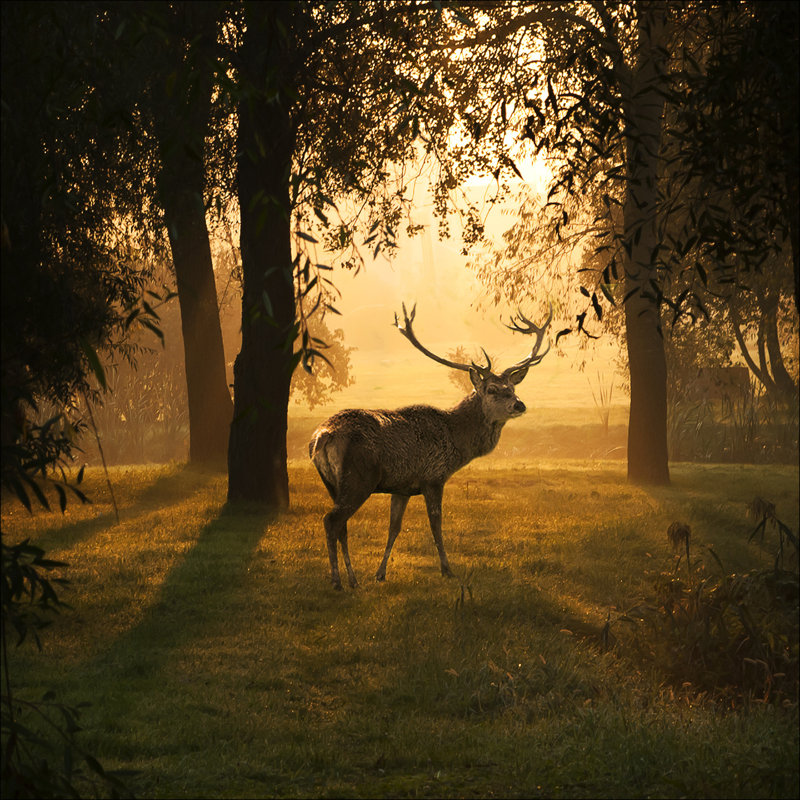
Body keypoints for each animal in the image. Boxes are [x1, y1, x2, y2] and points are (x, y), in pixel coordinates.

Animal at [309, 303, 552, 589]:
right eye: (492, 389)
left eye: (512, 387)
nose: (519, 404)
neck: (456, 440)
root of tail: (323, 435)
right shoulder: (433, 477)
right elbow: (436, 524)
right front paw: (447, 569)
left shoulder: (402, 487)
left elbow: (394, 528)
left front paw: (380, 573)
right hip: (359, 478)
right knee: (331, 520)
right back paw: (337, 581)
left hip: (331, 482)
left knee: (342, 525)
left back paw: (353, 579)